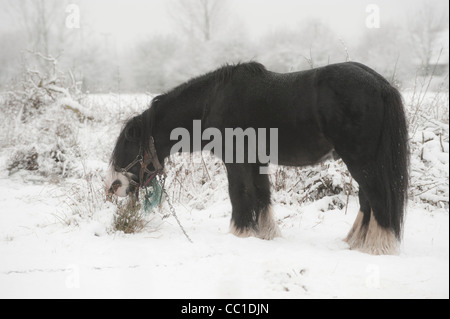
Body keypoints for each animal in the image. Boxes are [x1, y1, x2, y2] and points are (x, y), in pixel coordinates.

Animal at [106, 62, 408, 258]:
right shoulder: (256, 161)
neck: (212, 102)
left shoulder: (236, 160)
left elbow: (239, 194)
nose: (113, 187)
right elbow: (261, 195)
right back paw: (356, 243)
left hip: (361, 160)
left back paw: (376, 248)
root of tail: (382, 85)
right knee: (367, 201)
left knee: (377, 198)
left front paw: (239, 232)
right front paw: (265, 234)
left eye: (126, 147)